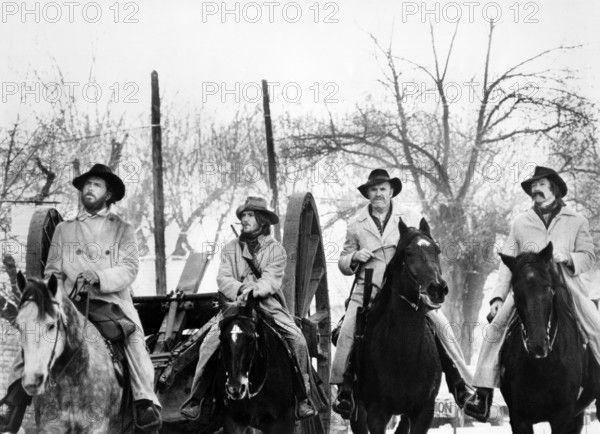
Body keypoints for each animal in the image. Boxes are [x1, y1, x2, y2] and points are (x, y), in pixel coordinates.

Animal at [500, 242, 596, 434]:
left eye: (548, 288)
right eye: (516, 291)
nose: (537, 345)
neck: (542, 365)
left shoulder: (563, 418)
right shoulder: (519, 419)